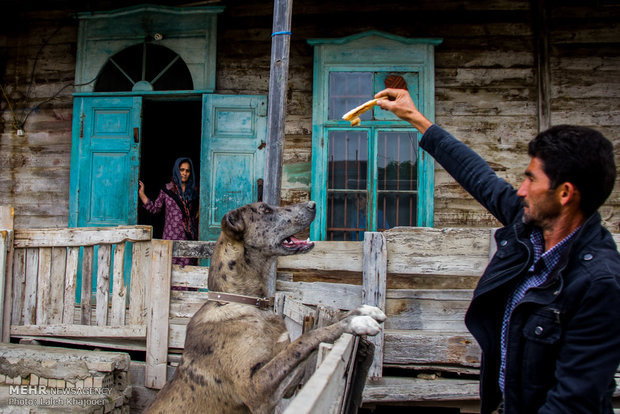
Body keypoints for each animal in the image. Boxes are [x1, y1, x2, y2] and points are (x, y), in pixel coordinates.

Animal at [147, 199, 388, 412]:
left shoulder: (285, 388)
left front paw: (363, 310)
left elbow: (310, 335)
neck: (249, 302)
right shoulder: (256, 388)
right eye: (265, 210)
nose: (312, 204)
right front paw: (355, 322)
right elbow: (304, 341)